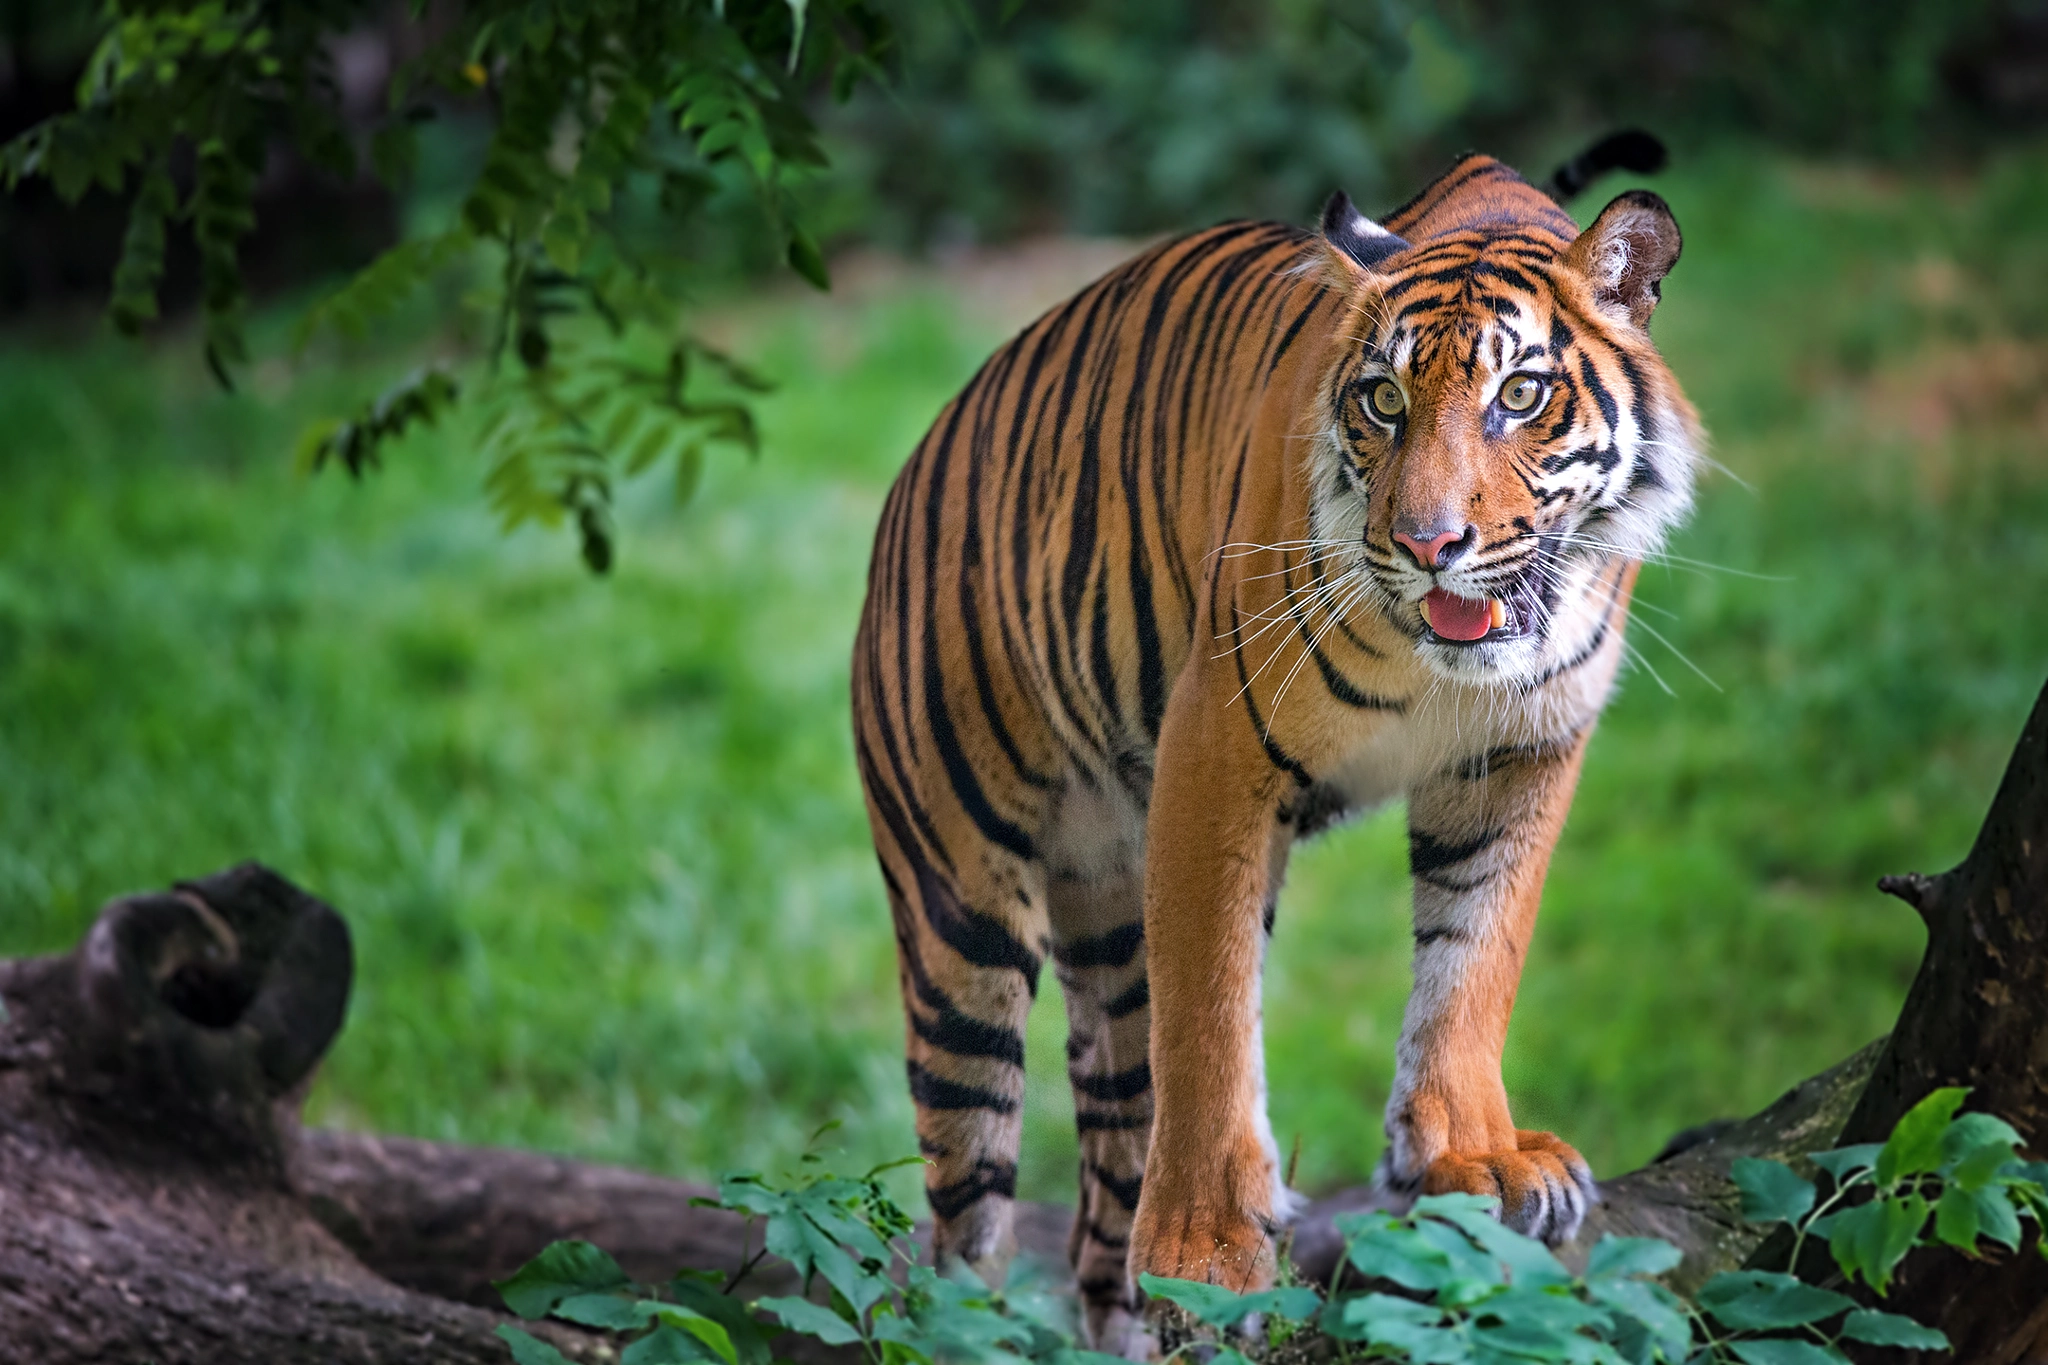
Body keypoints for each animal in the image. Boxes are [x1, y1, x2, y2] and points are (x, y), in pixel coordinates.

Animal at [847, 130, 1695, 1358]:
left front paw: (1472, 1159)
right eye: (1383, 399)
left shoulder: (1518, 759)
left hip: (1108, 922)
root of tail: (916, 465)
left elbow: (1474, 958)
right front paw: (1207, 1248)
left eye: (1520, 394)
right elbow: (1213, 1018)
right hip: (958, 916)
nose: (1428, 545)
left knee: (1098, 1201)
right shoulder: (1214, 751)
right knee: (964, 1224)